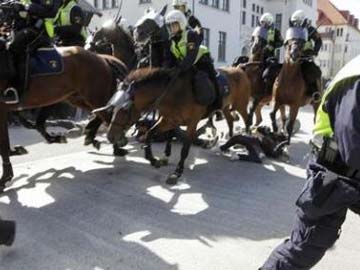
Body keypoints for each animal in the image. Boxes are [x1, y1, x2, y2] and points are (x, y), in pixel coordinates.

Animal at [0, 44, 127, 190]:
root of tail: (101, 57)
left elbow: (3, 146)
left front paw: (5, 178)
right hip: (78, 98)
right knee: (101, 113)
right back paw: (91, 136)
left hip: (94, 97)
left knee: (109, 115)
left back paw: (116, 146)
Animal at [97, 67, 250, 186]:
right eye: (113, 108)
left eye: (125, 110)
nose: (110, 136)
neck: (175, 94)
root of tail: (239, 69)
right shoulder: (168, 120)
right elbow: (150, 134)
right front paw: (154, 159)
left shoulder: (192, 123)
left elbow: (185, 148)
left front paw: (177, 172)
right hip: (225, 107)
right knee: (230, 120)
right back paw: (229, 141)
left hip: (240, 104)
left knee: (247, 118)